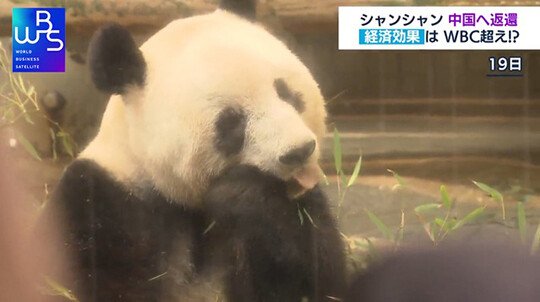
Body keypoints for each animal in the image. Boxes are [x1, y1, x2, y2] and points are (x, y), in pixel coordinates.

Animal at [41, 0, 346, 302]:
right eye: (231, 121)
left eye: (285, 92)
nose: (299, 151)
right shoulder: (97, 204)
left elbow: (318, 282)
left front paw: (246, 196)